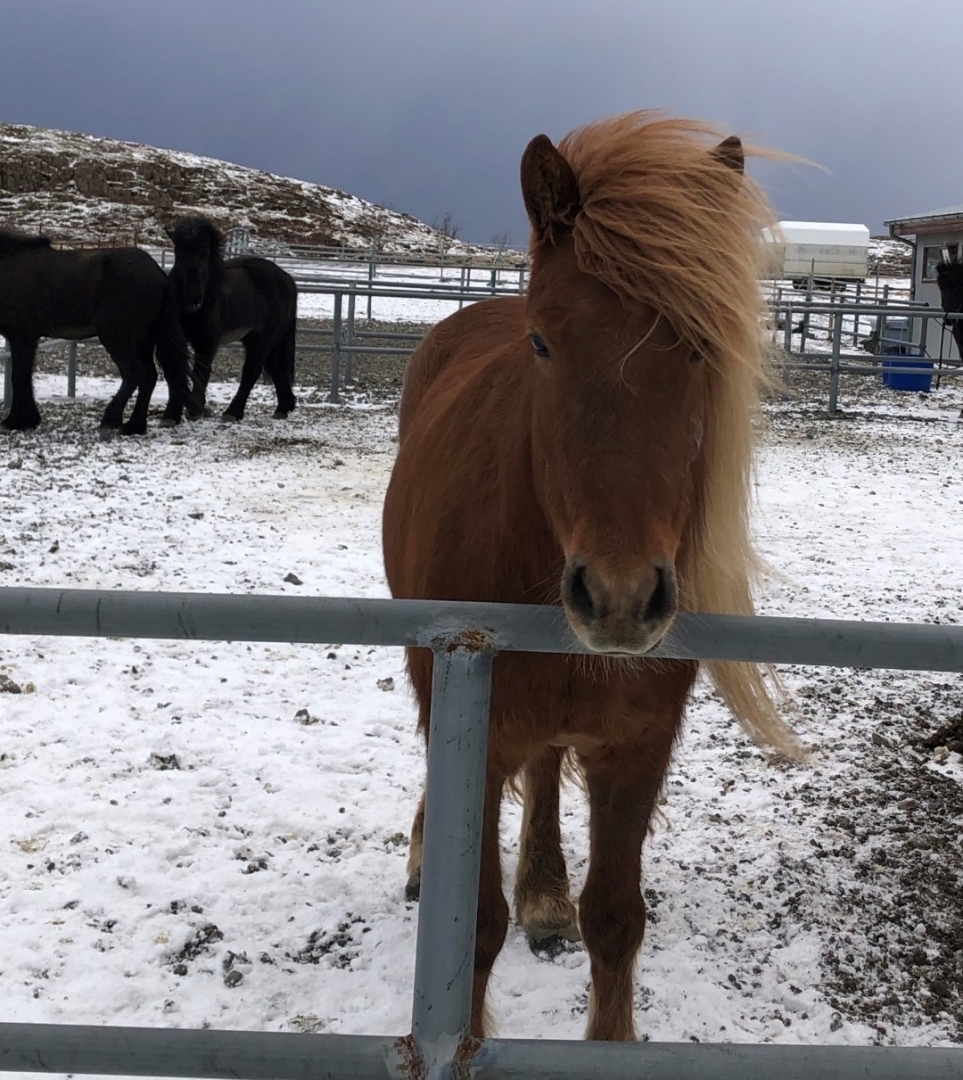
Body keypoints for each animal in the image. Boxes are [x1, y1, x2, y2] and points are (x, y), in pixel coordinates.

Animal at [0, 228, 192, 434]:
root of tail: (159, 275)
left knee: (135, 372)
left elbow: (18, 377)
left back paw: (110, 419)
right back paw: (134, 425)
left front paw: (15, 421)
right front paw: (28, 419)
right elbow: (24, 376)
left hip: (116, 337)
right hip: (143, 339)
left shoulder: (22, 338)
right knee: (149, 376)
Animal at [164, 216, 297, 421]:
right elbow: (176, 371)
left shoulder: (207, 342)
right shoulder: (175, 338)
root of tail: (286, 278)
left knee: (251, 372)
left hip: (263, 339)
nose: (193, 298)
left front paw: (195, 409)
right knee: (277, 369)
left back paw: (232, 412)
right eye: (179, 255)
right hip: (265, 340)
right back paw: (283, 408)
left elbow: (200, 374)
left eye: (205, 254)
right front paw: (172, 414)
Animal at [380, 113, 803, 1041]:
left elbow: (615, 919)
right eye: (544, 341)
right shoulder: (476, 733)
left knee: (545, 778)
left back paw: (544, 897)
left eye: (698, 347)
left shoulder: (635, 750)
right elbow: (474, 927)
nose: (617, 597)